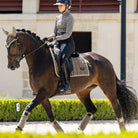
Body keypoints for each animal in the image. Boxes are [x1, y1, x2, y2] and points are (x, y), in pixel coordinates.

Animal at [2, 27, 138, 133]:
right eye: (6, 46)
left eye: (14, 45)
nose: (11, 66)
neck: (40, 59)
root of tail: (105, 60)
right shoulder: (42, 95)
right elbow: (50, 116)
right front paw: (61, 132)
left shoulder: (43, 93)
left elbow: (28, 107)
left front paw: (18, 128)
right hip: (82, 91)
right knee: (92, 109)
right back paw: (78, 131)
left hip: (108, 87)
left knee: (116, 107)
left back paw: (122, 131)